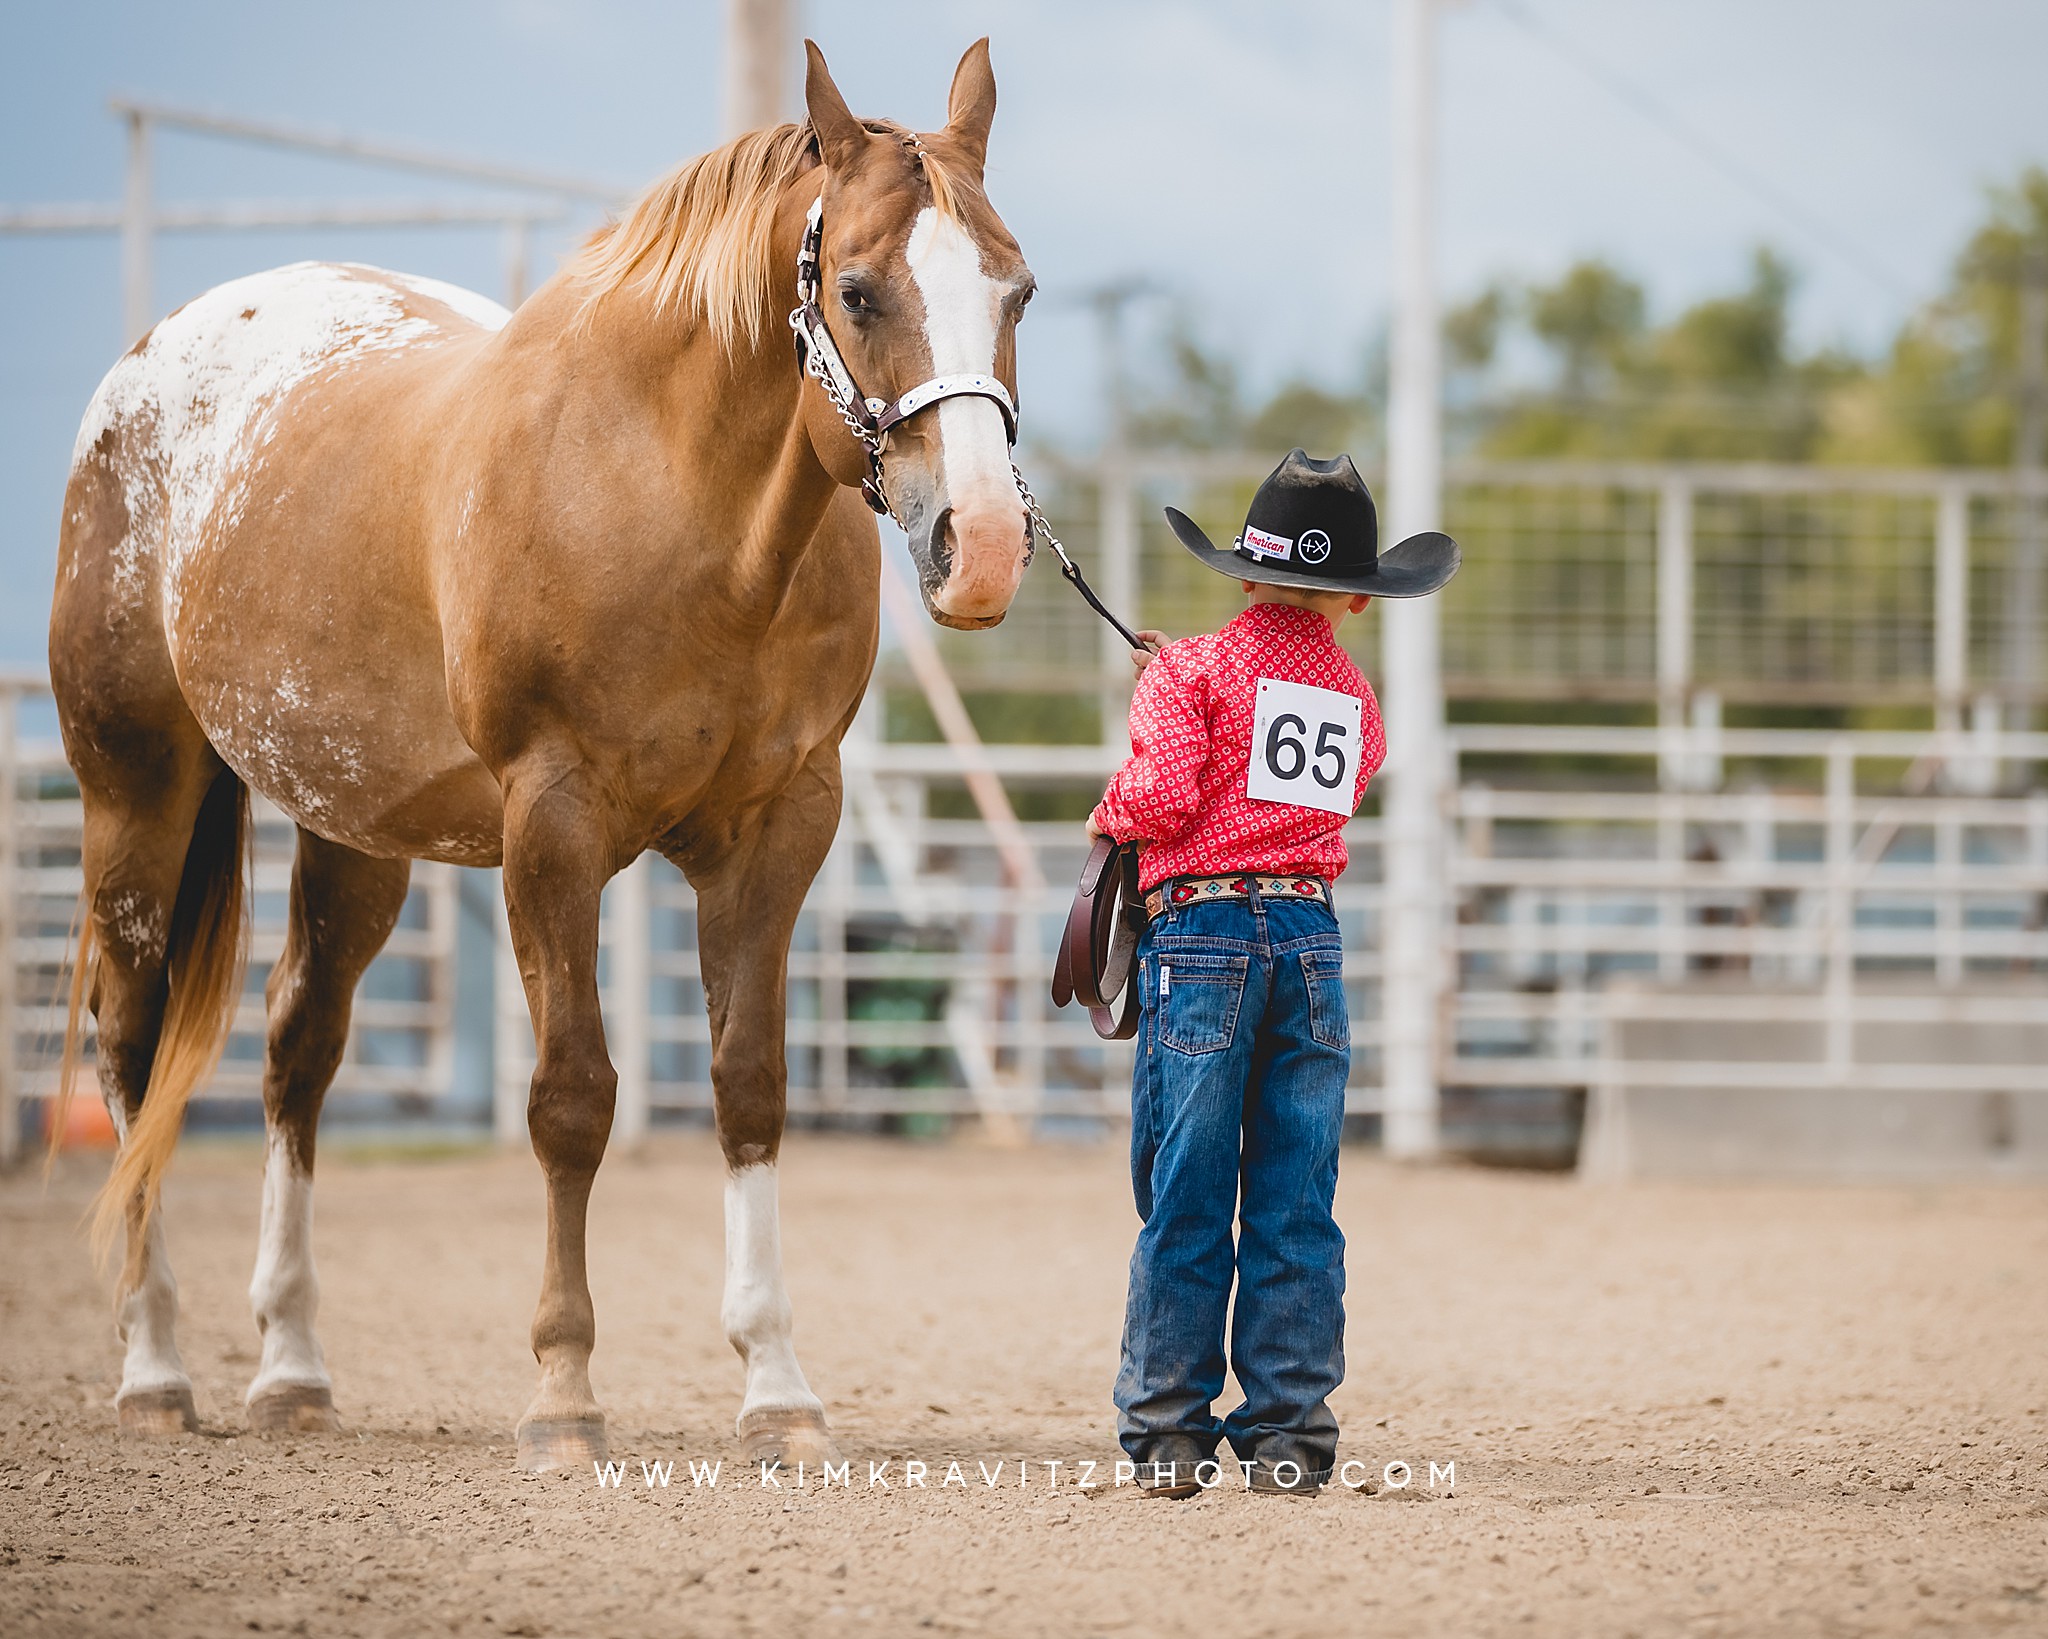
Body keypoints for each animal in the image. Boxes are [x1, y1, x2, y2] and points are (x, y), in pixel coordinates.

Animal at [48, 38, 1040, 1475]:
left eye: (1017, 287)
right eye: (857, 290)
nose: (985, 544)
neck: (674, 500)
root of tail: (147, 365)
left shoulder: (781, 827)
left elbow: (750, 1085)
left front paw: (778, 1388)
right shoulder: (552, 825)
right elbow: (571, 1095)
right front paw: (564, 1394)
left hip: (352, 829)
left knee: (299, 1048)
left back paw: (291, 1366)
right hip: (136, 791)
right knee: (131, 1043)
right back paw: (154, 1363)